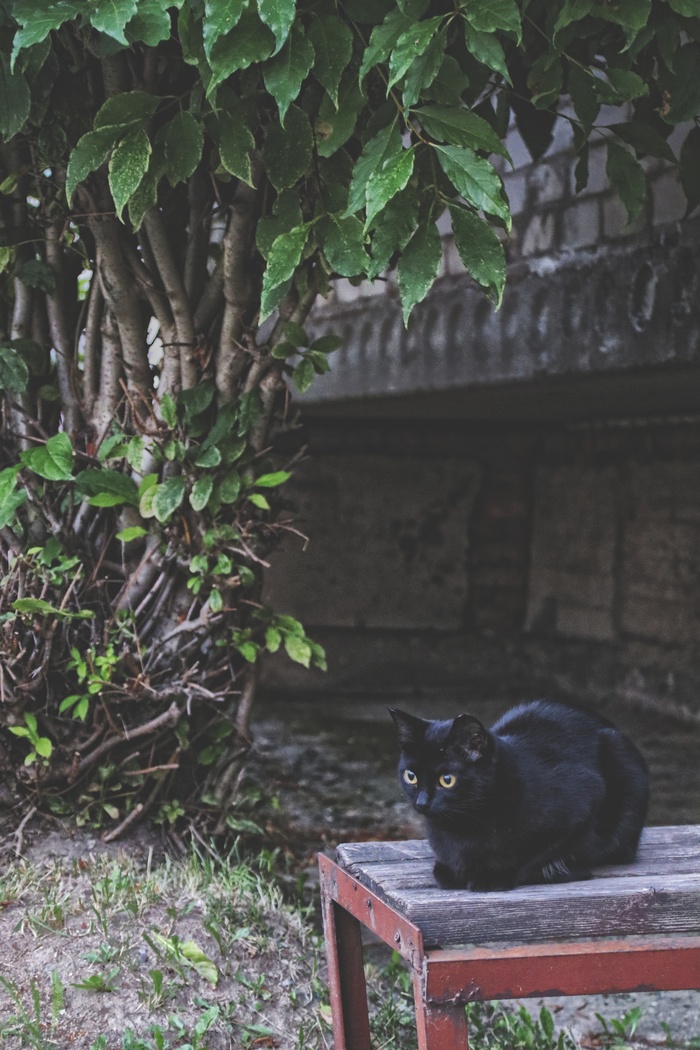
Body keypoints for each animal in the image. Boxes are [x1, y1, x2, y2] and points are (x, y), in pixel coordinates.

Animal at [390, 700, 649, 891]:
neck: (463, 825)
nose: (422, 802)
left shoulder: (584, 801)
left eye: (447, 779)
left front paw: (496, 876)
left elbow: (537, 854)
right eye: (411, 776)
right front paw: (449, 870)